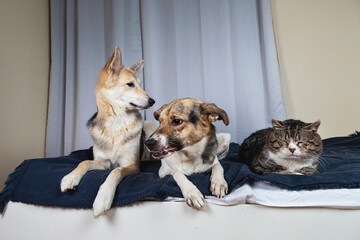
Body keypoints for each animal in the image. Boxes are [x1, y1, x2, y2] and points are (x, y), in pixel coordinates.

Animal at [60, 46, 155, 217]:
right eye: (130, 84)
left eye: (140, 84)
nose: (152, 101)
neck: (116, 123)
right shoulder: (102, 163)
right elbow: (84, 162)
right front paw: (70, 178)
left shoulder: (131, 165)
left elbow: (115, 171)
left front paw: (103, 198)